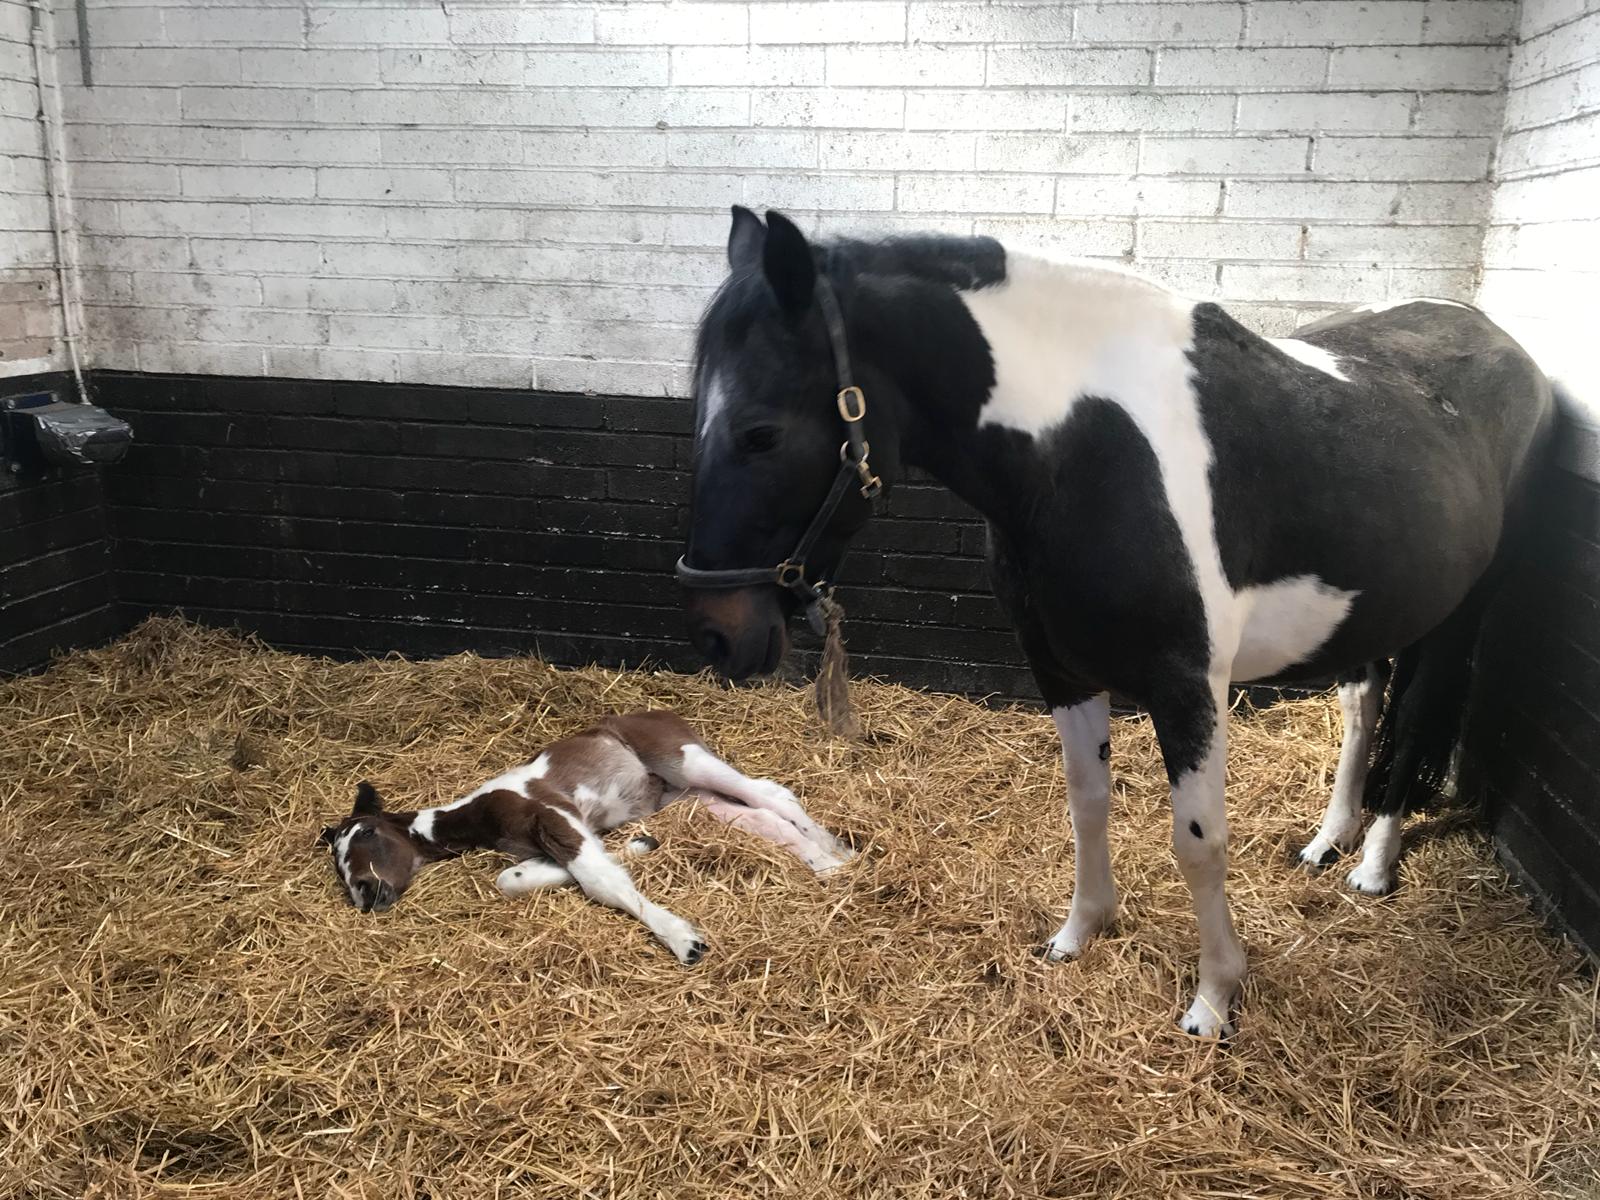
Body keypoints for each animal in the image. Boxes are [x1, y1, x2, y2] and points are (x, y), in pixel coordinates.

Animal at [319, 710, 854, 964]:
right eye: (337, 859)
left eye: (367, 832)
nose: (364, 893)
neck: (482, 811)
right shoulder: (567, 832)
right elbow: (516, 879)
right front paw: (640, 846)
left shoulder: (553, 815)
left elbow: (602, 882)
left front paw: (684, 940)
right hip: (689, 798)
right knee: (763, 816)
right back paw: (826, 857)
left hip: (687, 760)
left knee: (772, 794)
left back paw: (835, 856)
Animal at [676, 206, 1554, 1036]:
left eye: (761, 433)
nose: (717, 631)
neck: (1085, 449)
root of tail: (1506, 346)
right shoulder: (1060, 668)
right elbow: (1086, 801)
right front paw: (1082, 931)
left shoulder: (1187, 685)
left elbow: (1199, 842)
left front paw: (1214, 998)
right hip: (1372, 609)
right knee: (1362, 703)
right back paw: (1328, 837)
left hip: (1456, 615)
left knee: (1415, 722)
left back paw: (1372, 865)